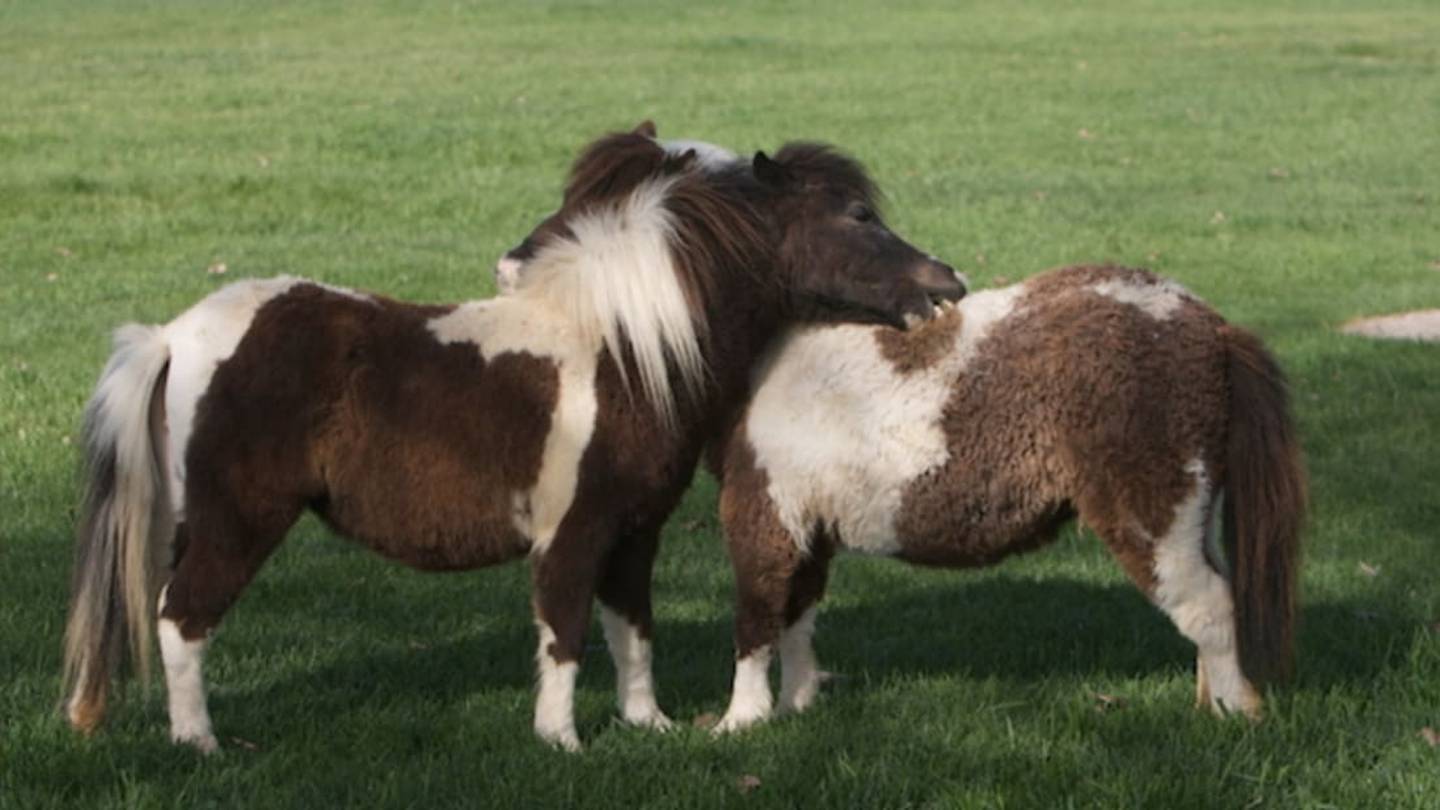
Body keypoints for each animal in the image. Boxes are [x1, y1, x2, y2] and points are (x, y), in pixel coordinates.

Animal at [61, 122, 965, 753]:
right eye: (857, 215)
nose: (947, 283)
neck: (622, 351)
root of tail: (173, 335)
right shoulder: (572, 533)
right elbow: (564, 631)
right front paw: (561, 740)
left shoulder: (634, 533)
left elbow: (631, 631)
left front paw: (648, 726)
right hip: (239, 522)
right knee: (182, 620)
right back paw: (199, 743)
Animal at [711, 264, 1306, 732]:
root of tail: (1212, 328)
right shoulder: (807, 533)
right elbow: (796, 617)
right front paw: (794, 707)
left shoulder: (765, 521)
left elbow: (757, 618)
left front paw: (740, 721)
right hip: (1192, 513)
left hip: (1152, 515)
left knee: (1208, 605)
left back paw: (1233, 713)